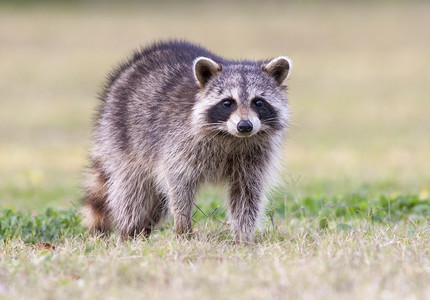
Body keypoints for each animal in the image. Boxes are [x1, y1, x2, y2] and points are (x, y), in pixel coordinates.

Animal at [82, 39, 292, 243]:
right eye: (227, 102)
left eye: (258, 102)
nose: (245, 126)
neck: (230, 136)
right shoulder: (179, 143)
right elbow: (179, 184)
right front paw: (183, 229)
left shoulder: (254, 157)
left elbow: (246, 195)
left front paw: (244, 237)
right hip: (123, 138)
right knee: (133, 193)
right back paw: (129, 233)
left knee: (155, 204)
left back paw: (142, 232)